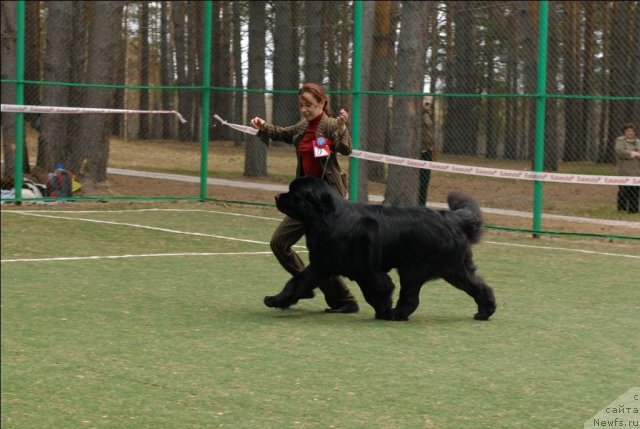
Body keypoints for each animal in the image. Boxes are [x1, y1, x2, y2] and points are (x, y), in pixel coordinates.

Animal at [262, 176, 498, 320]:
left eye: (294, 192)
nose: (276, 196)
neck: (328, 219)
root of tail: (451, 218)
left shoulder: (367, 270)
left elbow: (378, 289)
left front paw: (383, 310)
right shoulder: (321, 264)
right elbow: (296, 282)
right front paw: (276, 299)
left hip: (414, 267)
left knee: (410, 296)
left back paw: (397, 314)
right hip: (455, 268)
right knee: (479, 286)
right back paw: (485, 312)